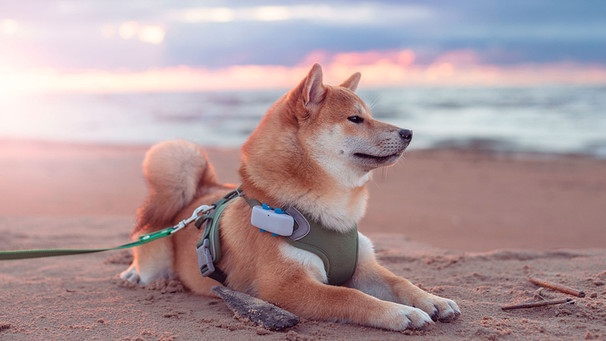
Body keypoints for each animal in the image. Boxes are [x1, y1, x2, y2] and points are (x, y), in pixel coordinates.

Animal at [120, 63, 460, 330]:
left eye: (370, 116)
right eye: (355, 119)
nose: (409, 133)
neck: (331, 214)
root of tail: (200, 194)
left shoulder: (363, 266)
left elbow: (400, 282)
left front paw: (432, 300)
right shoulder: (284, 287)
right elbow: (348, 295)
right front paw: (400, 313)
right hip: (156, 255)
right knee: (142, 250)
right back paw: (132, 273)